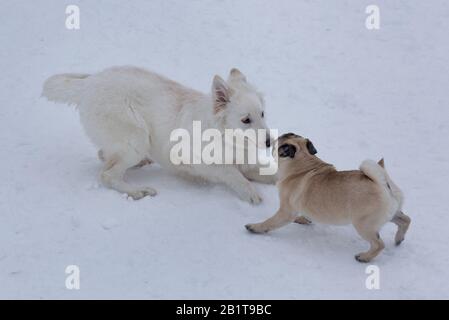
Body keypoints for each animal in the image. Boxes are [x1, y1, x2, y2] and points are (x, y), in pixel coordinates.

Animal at [43, 67, 272, 202]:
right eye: (246, 120)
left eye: (262, 114)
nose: (270, 142)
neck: (227, 137)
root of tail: (89, 83)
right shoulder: (203, 162)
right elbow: (233, 174)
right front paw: (251, 193)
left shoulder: (247, 163)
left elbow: (269, 173)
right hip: (136, 140)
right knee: (107, 174)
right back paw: (138, 191)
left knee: (103, 156)